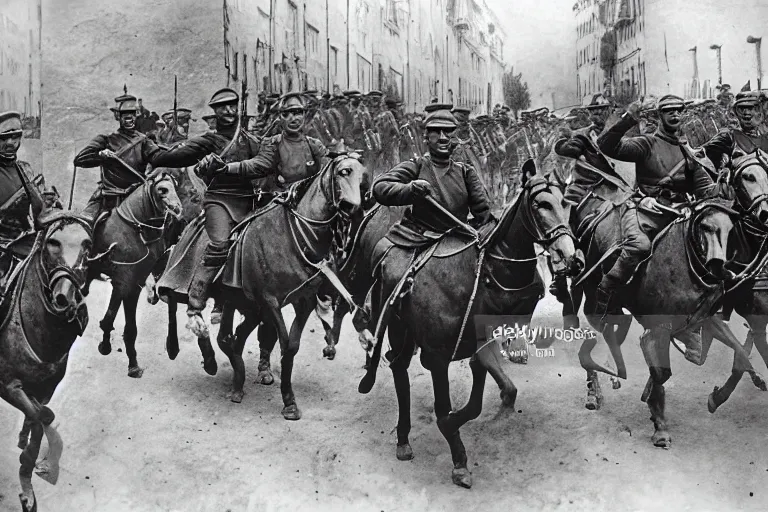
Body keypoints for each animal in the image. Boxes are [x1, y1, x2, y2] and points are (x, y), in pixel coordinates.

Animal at [0, 211, 95, 512]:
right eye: (52, 243)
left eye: (87, 244)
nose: (65, 297)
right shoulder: (8, 386)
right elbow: (41, 416)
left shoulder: (46, 388)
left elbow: (41, 417)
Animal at [82, 170, 188, 378]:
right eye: (162, 190)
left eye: (175, 186)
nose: (178, 210)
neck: (135, 231)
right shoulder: (124, 282)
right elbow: (113, 320)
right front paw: (108, 347)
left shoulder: (133, 283)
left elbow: (128, 326)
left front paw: (134, 364)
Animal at [159, 153, 366, 412]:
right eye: (344, 171)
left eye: (363, 176)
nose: (354, 209)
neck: (291, 235)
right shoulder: (270, 301)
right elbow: (284, 342)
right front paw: (288, 401)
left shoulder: (303, 300)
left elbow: (291, 346)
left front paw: (289, 400)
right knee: (177, 304)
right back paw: (191, 346)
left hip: (238, 301)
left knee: (228, 337)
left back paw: (234, 378)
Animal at [356, 163, 580, 488]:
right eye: (541, 204)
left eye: (566, 204)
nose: (571, 257)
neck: (475, 273)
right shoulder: (437, 357)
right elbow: (444, 410)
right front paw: (459, 459)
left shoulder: (478, 341)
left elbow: (486, 395)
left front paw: (493, 411)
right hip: (397, 328)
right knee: (398, 368)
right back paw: (403, 439)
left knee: (397, 364)